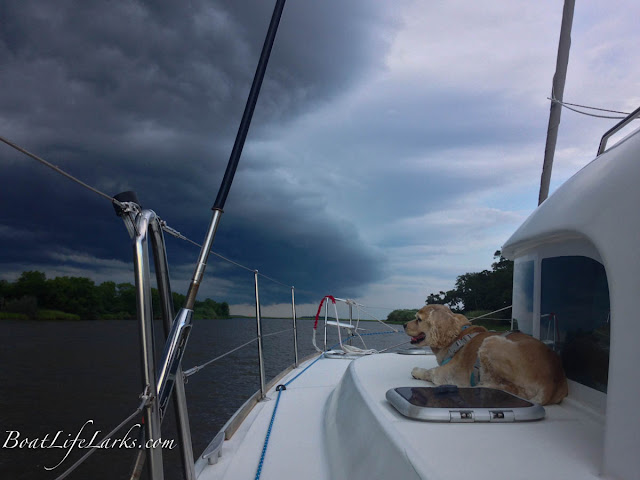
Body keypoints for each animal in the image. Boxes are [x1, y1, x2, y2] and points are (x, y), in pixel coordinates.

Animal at [408, 306, 568, 404]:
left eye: (418, 319)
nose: (404, 325)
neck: (456, 337)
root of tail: (552, 383)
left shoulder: (450, 373)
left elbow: (431, 372)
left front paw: (417, 372)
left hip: (490, 342)